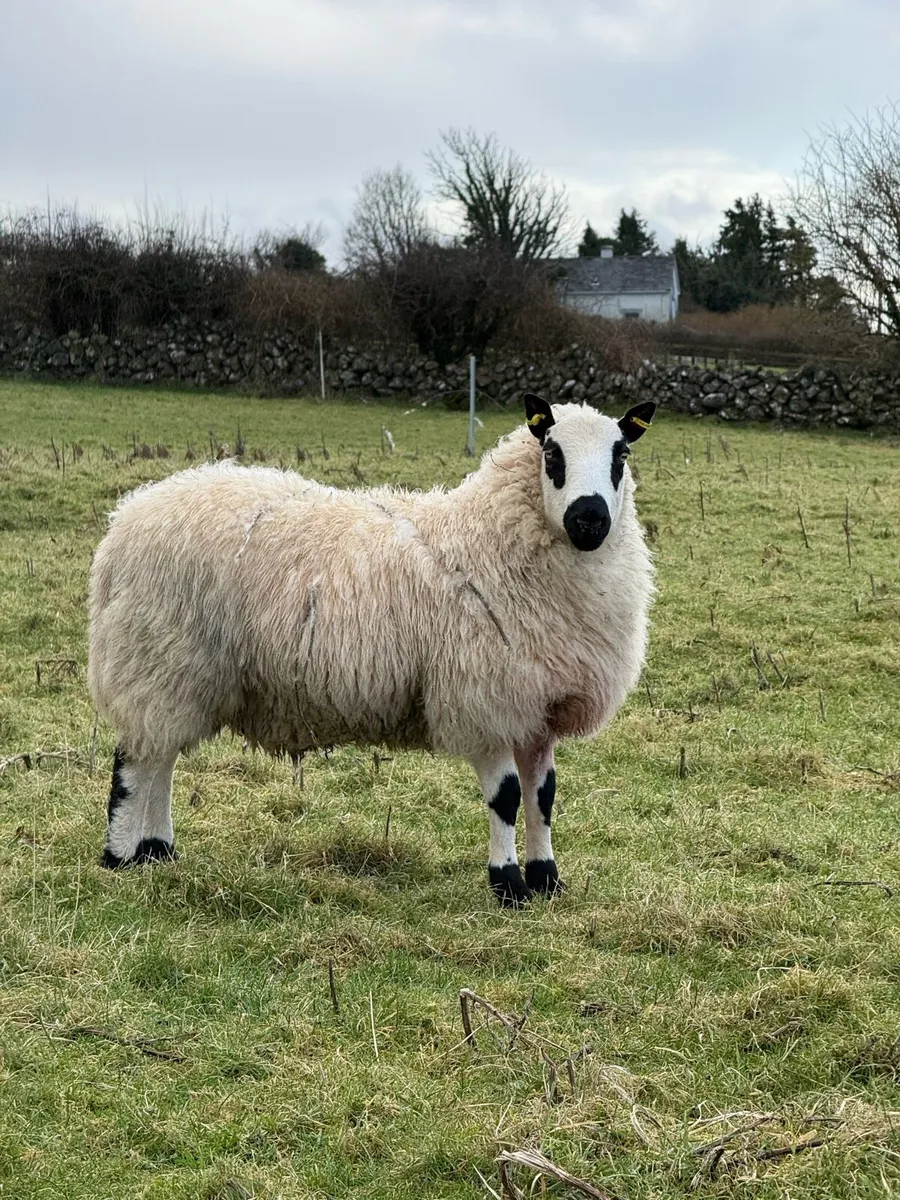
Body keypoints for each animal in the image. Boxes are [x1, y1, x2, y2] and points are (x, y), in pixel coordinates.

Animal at [88, 393, 656, 905]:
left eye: (621, 456)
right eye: (552, 454)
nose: (589, 519)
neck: (489, 539)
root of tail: (126, 520)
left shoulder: (538, 707)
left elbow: (543, 797)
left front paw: (546, 881)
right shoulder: (483, 699)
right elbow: (508, 798)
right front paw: (508, 887)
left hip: (176, 674)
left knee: (161, 759)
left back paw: (158, 851)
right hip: (156, 657)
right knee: (135, 763)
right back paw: (120, 857)